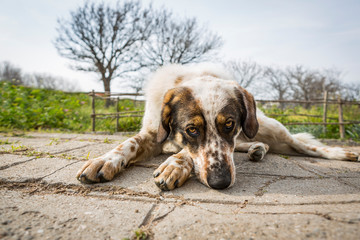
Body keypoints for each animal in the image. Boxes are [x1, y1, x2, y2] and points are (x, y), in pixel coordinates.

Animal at [76, 63, 360, 189]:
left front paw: (175, 164)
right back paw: (256, 149)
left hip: (271, 128)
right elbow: (129, 143)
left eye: (229, 124)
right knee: (252, 144)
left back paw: (345, 153)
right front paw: (105, 160)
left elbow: (188, 153)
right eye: (191, 129)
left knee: (303, 144)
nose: (221, 182)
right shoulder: (152, 133)